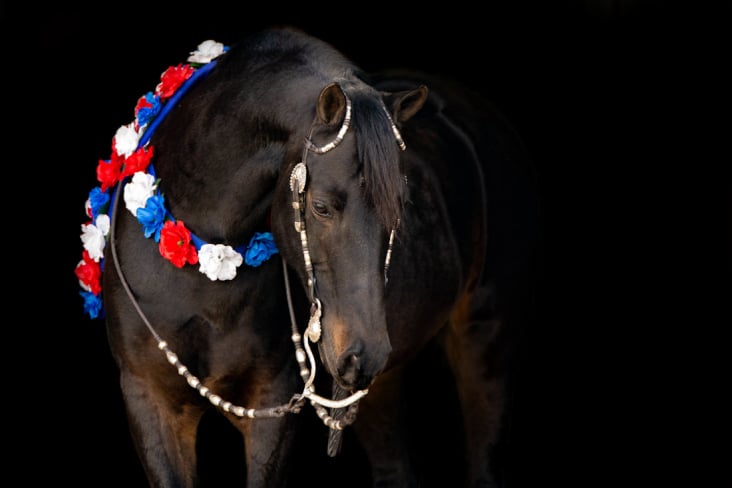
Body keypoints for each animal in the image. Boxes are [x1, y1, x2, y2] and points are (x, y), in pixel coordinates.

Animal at [75, 27, 540, 487]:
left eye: (401, 207)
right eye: (320, 207)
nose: (363, 354)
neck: (199, 275)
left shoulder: (273, 405)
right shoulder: (150, 402)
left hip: (484, 346)